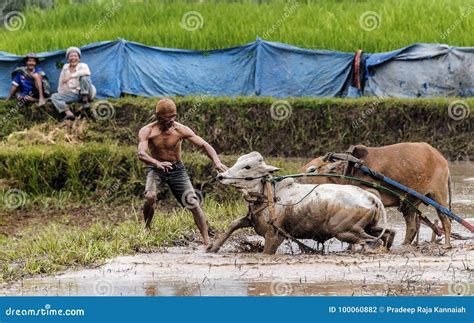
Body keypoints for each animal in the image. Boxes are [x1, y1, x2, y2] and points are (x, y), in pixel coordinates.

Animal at [209, 153, 394, 256]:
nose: (221, 176)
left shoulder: (274, 236)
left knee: (372, 242)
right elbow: (233, 224)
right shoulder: (251, 218)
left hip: (346, 231)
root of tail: (370, 197)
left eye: (247, 167)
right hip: (369, 227)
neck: (269, 193)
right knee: (388, 234)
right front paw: (212, 248)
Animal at [300, 143, 452, 249]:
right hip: (409, 203)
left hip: (438, 194)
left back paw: (447, 244)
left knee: (445, 220)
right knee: (412, 227)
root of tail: (441, 158)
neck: (350, 168)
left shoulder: (372, 193)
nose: (297, 180)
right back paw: (404, 244)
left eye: (312, 170)